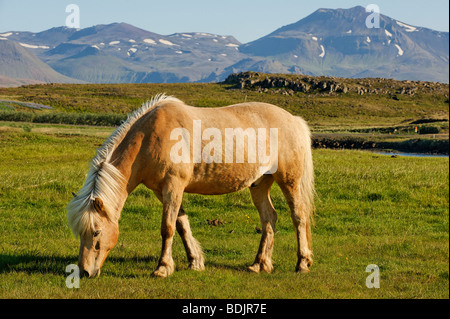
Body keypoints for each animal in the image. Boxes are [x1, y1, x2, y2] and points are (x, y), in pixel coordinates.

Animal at [67, 94, 314, 278]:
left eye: (96, 232)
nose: (85, 272)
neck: (150, 137)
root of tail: (294, 119)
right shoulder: (162, 191)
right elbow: (181, 224)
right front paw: (194, 262)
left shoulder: (173, 186)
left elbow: (167, 227)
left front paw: (162, 268)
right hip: (260, 184)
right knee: (269, 218)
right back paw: (259, 264)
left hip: (288, 180)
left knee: (298, 216)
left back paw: (302, 263)